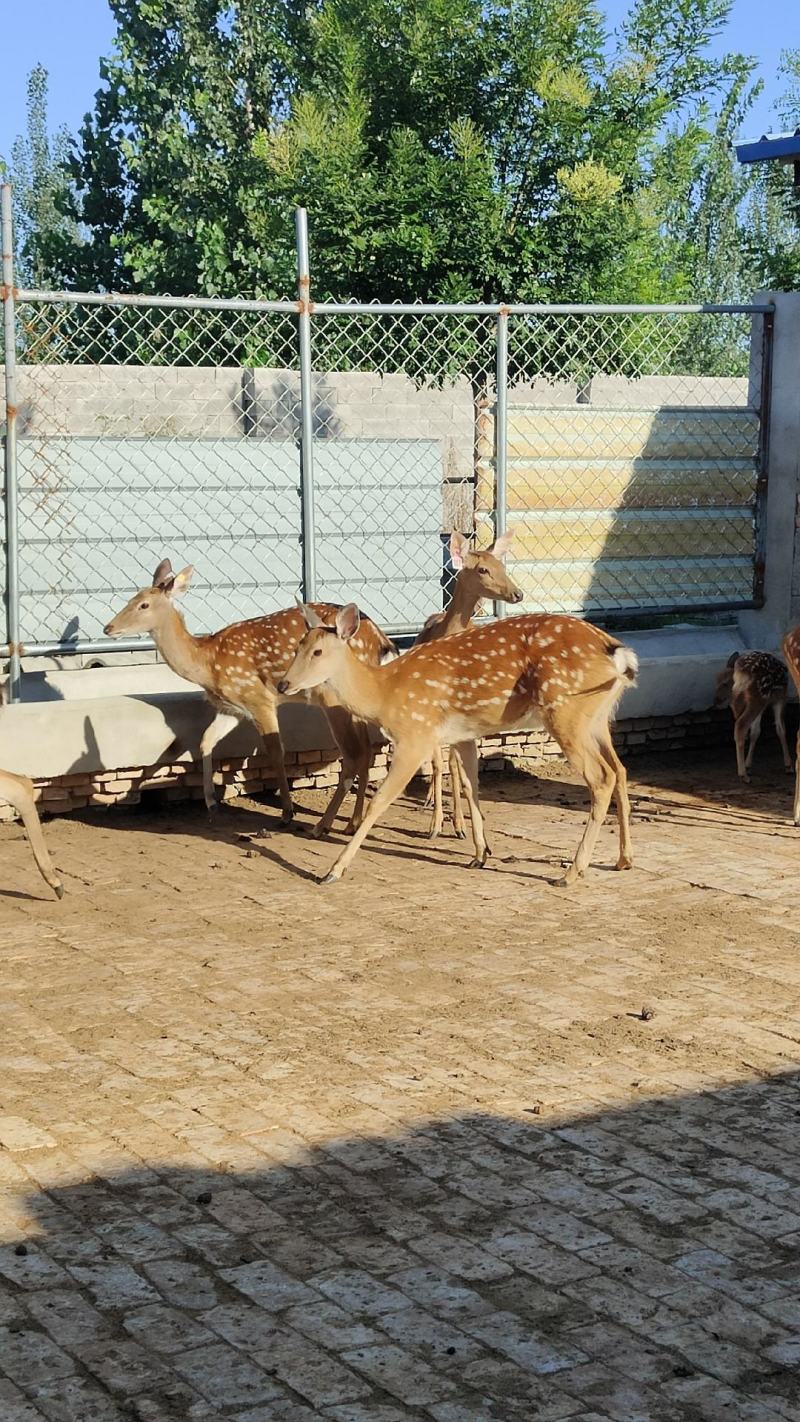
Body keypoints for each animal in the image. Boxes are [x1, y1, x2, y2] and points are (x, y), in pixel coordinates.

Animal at [103, 560, 396, 837]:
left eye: (143, 604)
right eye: (130, 597)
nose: (108, 627)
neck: (207, 662)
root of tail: (382, 641)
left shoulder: (259, 697)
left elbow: (276, 751)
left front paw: (287, 813)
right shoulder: (233, 707)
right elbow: (206, 740)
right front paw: (211, 802)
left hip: (332, 697)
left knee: (354, 753)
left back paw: (324, 825)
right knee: (365, 749)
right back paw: (351, 824)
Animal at [278, 603, 637, 886]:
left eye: (318, 652)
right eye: (297, 647)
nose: (284, 683)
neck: (384, 694)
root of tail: (619, 655)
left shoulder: (415, 734)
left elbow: (379, 801)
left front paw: (332, 871)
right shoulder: (464, 735)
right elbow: (471, 785)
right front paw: (481, 853)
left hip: (566, 711)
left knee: (602, 778)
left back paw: (571, 872)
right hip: (597, 717)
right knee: (620, 769)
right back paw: (623, 859)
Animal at [415, 530, 522, 841]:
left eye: (502, 565)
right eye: (483, 569)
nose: (518, 593)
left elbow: (454, 765)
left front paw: (459, 825)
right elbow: (438, 763)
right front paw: (435, 826)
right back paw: (430, 801)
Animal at [713, 650, 791, 782]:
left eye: (724, 683)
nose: (715, 700)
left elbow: (755, 731)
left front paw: (748, 764)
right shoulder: (780, 698)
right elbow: (781, 729)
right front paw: (789, 765)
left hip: (747, 701)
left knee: (741, 726)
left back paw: (744, 769)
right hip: (759, 697)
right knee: (741, 725)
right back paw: (743, 774)